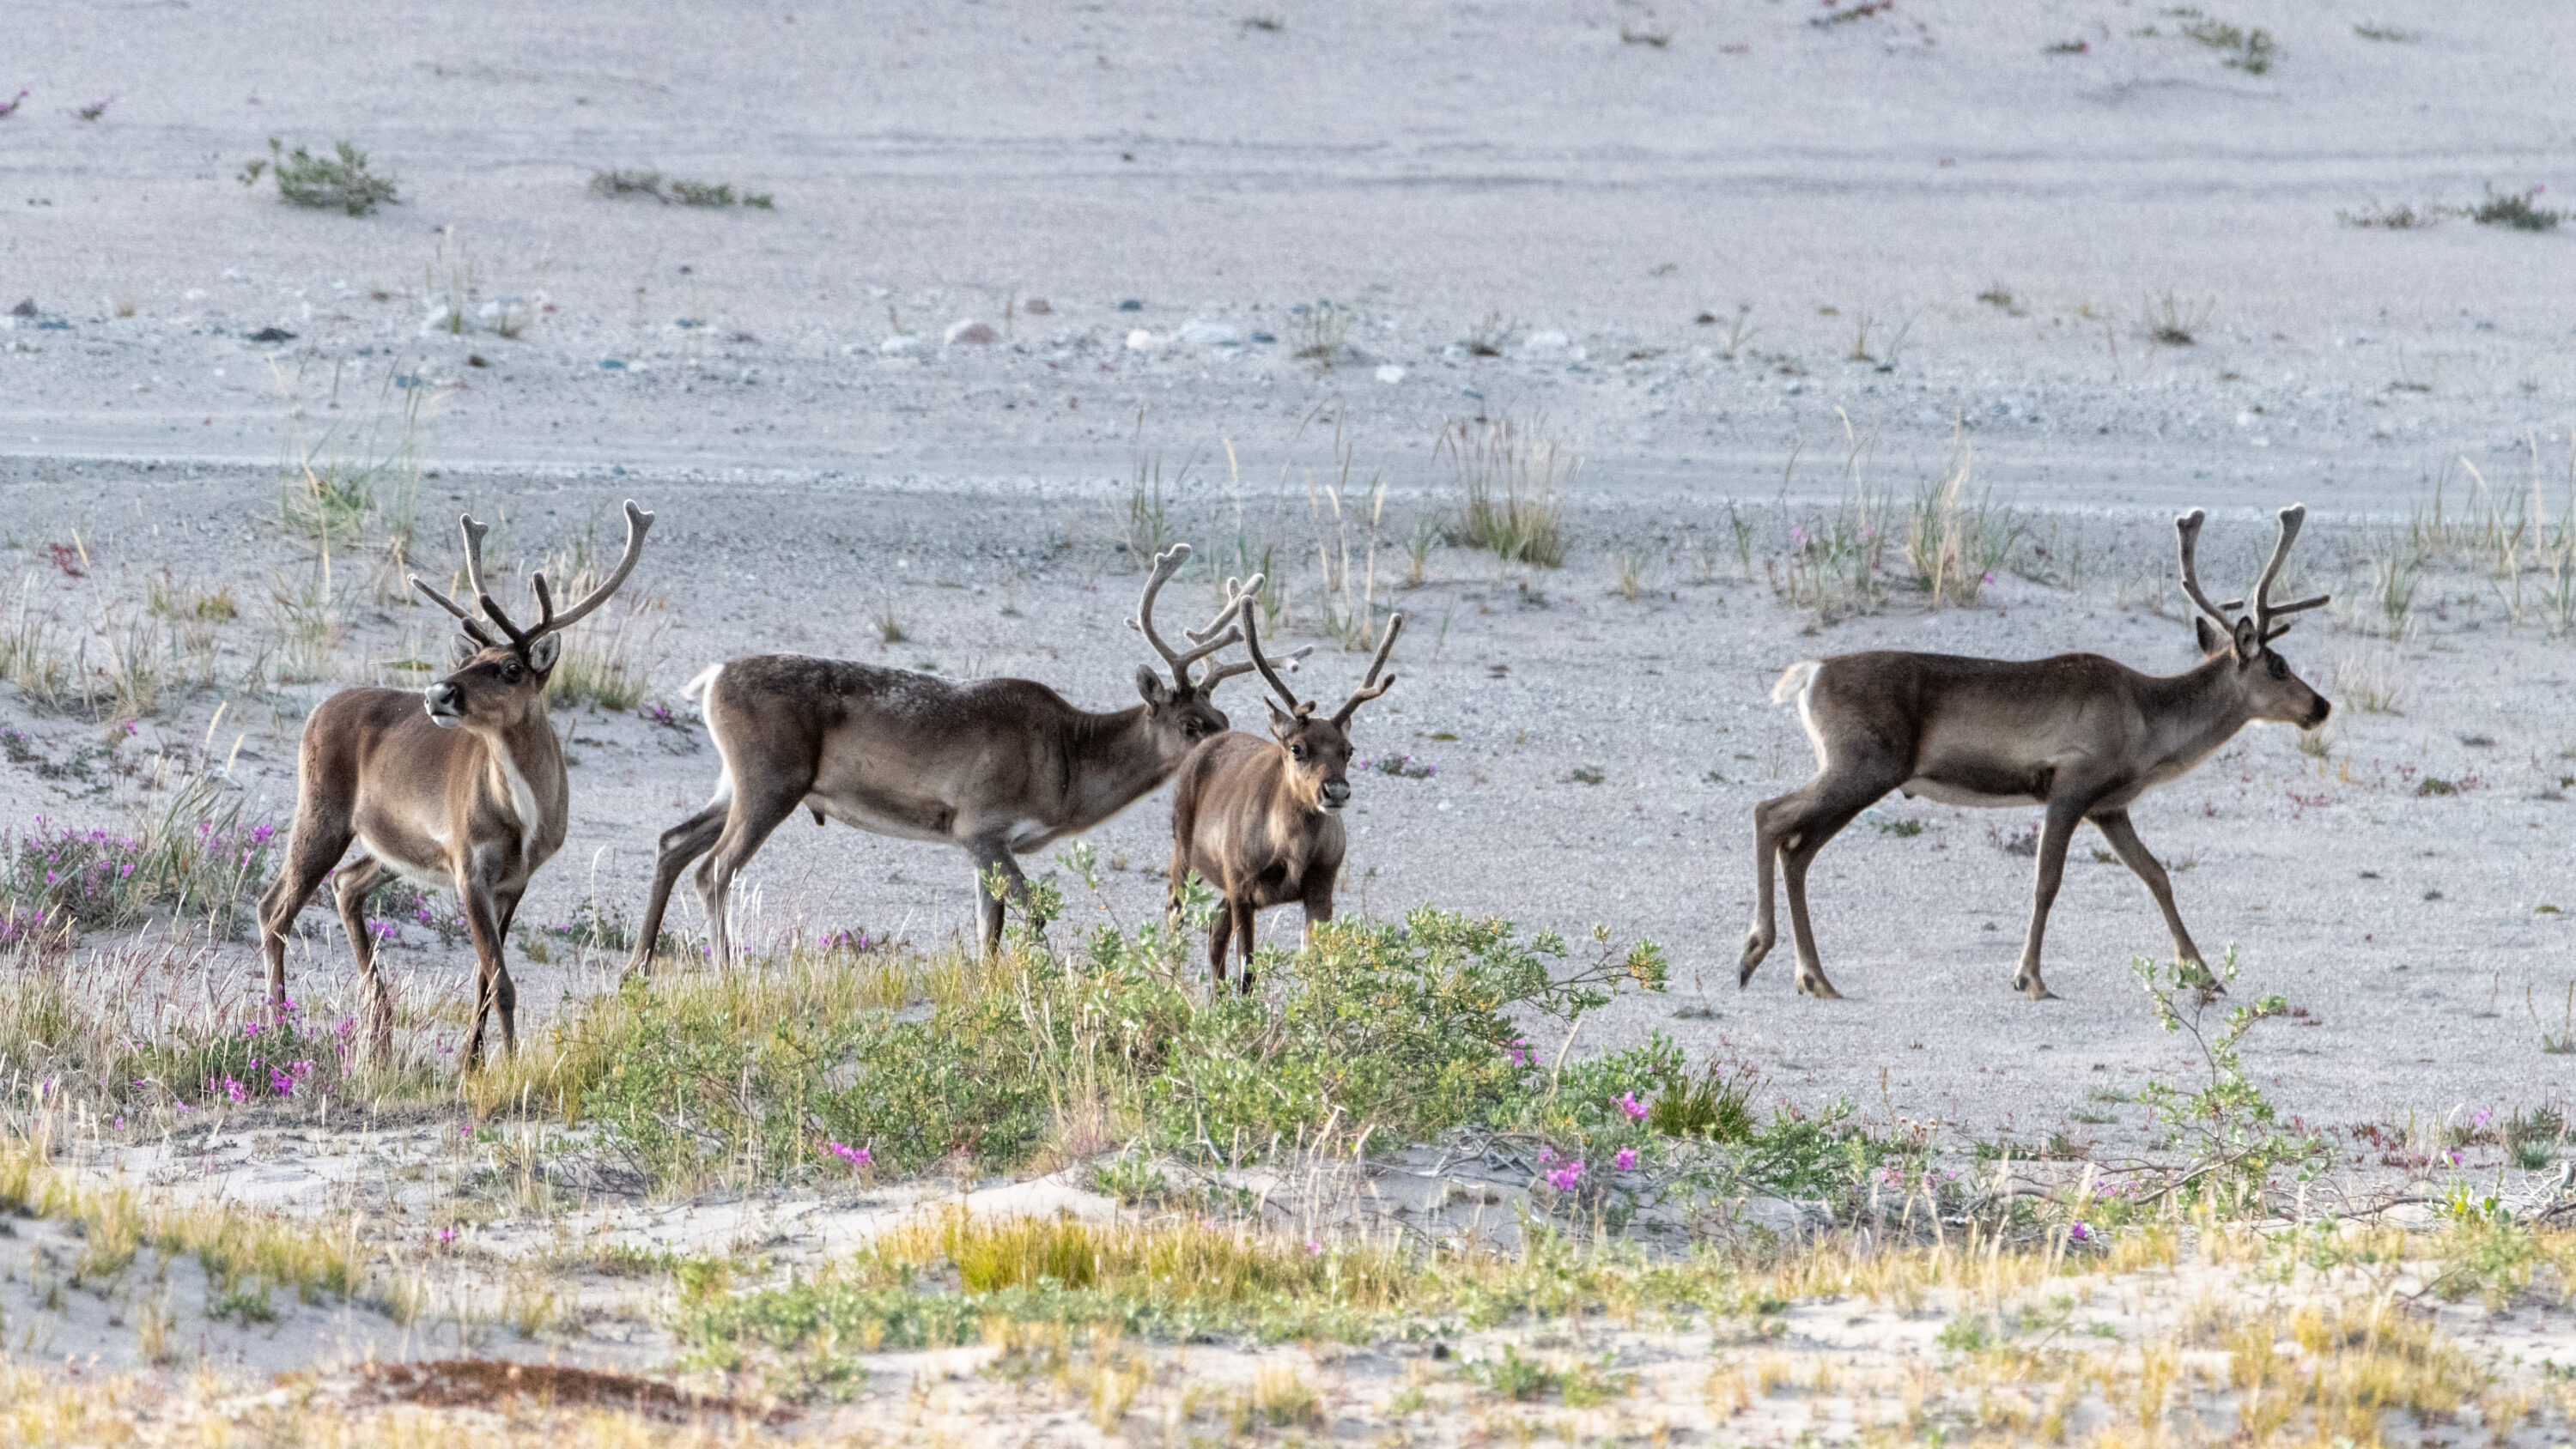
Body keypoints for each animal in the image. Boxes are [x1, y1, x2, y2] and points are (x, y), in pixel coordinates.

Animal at [256, 500, 654, 1066]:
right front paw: (507, 1063)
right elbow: (501, 979)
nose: (437, 692)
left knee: (345, 885)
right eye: (467, 660)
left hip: (397, 845)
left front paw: (474, 1062)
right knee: (274, 909)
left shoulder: (515, 879)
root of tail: (316, 711)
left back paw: (378, 1030)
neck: (524, 819)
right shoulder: (470, 863)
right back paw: (278, 1025)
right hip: (321, 810)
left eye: (511, 668)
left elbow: (486, 979)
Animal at [626, 544, 1296, 970]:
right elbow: (1031, 917)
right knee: (713, 869)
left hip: (736, 782)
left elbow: (986, 932)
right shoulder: (982, 826)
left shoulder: (980, 844)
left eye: (1222, 720)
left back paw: (638, 966)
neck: (1069, 764)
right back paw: (725, 973)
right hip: (770, 781)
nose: (1244, 751)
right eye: (1190, 724)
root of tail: (711, 679)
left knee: (672, 841)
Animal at [1167, 600, 1402, 991]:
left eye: (1349, 750)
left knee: (1215, 930)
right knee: (1175, 915)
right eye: (1297, 748)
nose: (1336, 790)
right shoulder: (1241, 882)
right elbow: (1248, 970)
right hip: (1183, 850)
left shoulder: (1322, 886)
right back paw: (1172, 988)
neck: (1290, 851)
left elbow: (1318, 969)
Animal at [1741, 504, 2331, 1002]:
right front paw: (2030, 977)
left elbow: (2157, 875)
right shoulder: (2071, 783)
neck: (2148, 727)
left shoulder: (2110, 806)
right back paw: (1755, 951)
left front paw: (2205, 974)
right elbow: (2046, 883)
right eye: (2279, 666)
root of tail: (1810, 674)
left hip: (1859, 772)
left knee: (1797, 849)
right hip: (1862, 764)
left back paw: (1813, 977)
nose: (2321, 706)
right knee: (1769, 814)